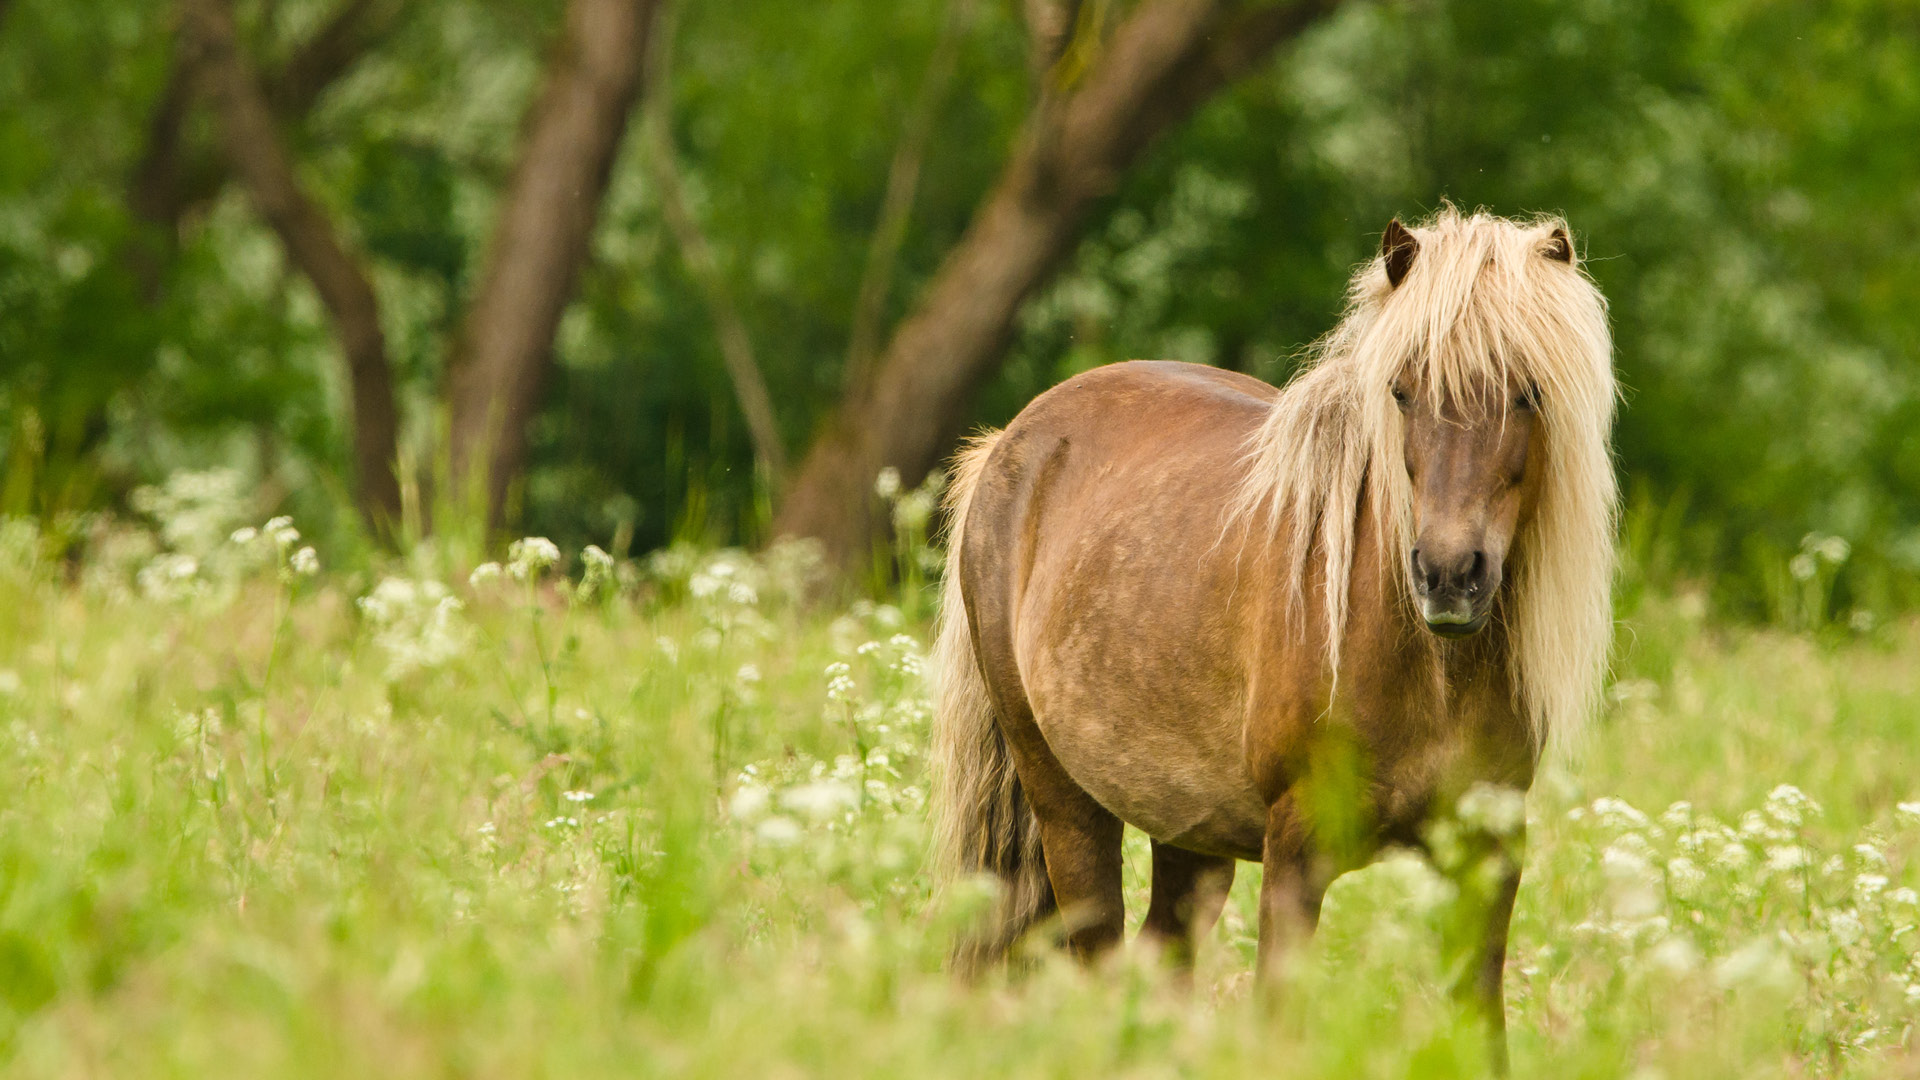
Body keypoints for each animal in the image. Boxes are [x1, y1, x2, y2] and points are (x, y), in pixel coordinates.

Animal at [929, 208, 1617, 1058]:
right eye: (1401, 391)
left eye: (1529, 392)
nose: (1449, 575)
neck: (1423, 666)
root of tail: (1011, 444)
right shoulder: (1296, 853)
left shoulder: (1485, 860)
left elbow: (1479, 1024)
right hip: (1066, 806)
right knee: (1097, 957)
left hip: (1186, 834)